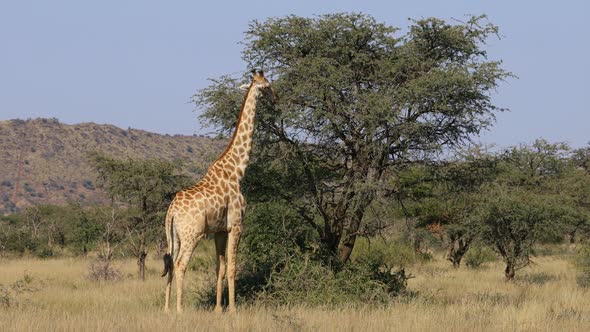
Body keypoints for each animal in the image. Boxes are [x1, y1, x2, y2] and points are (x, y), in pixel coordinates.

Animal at [162, 70, 272, 314]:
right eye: (267, 86)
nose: (275, 97)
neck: (237, 170)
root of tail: (172, 211)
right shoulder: (236, 224)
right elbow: (232, 267)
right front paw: (232, 309)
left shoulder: (219, 230)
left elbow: (219, 268)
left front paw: (218, 309)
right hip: (191, 234)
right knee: (180, 264)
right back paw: (180, 310)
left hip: (174, 236)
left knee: (170, 263)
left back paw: (166, 309)